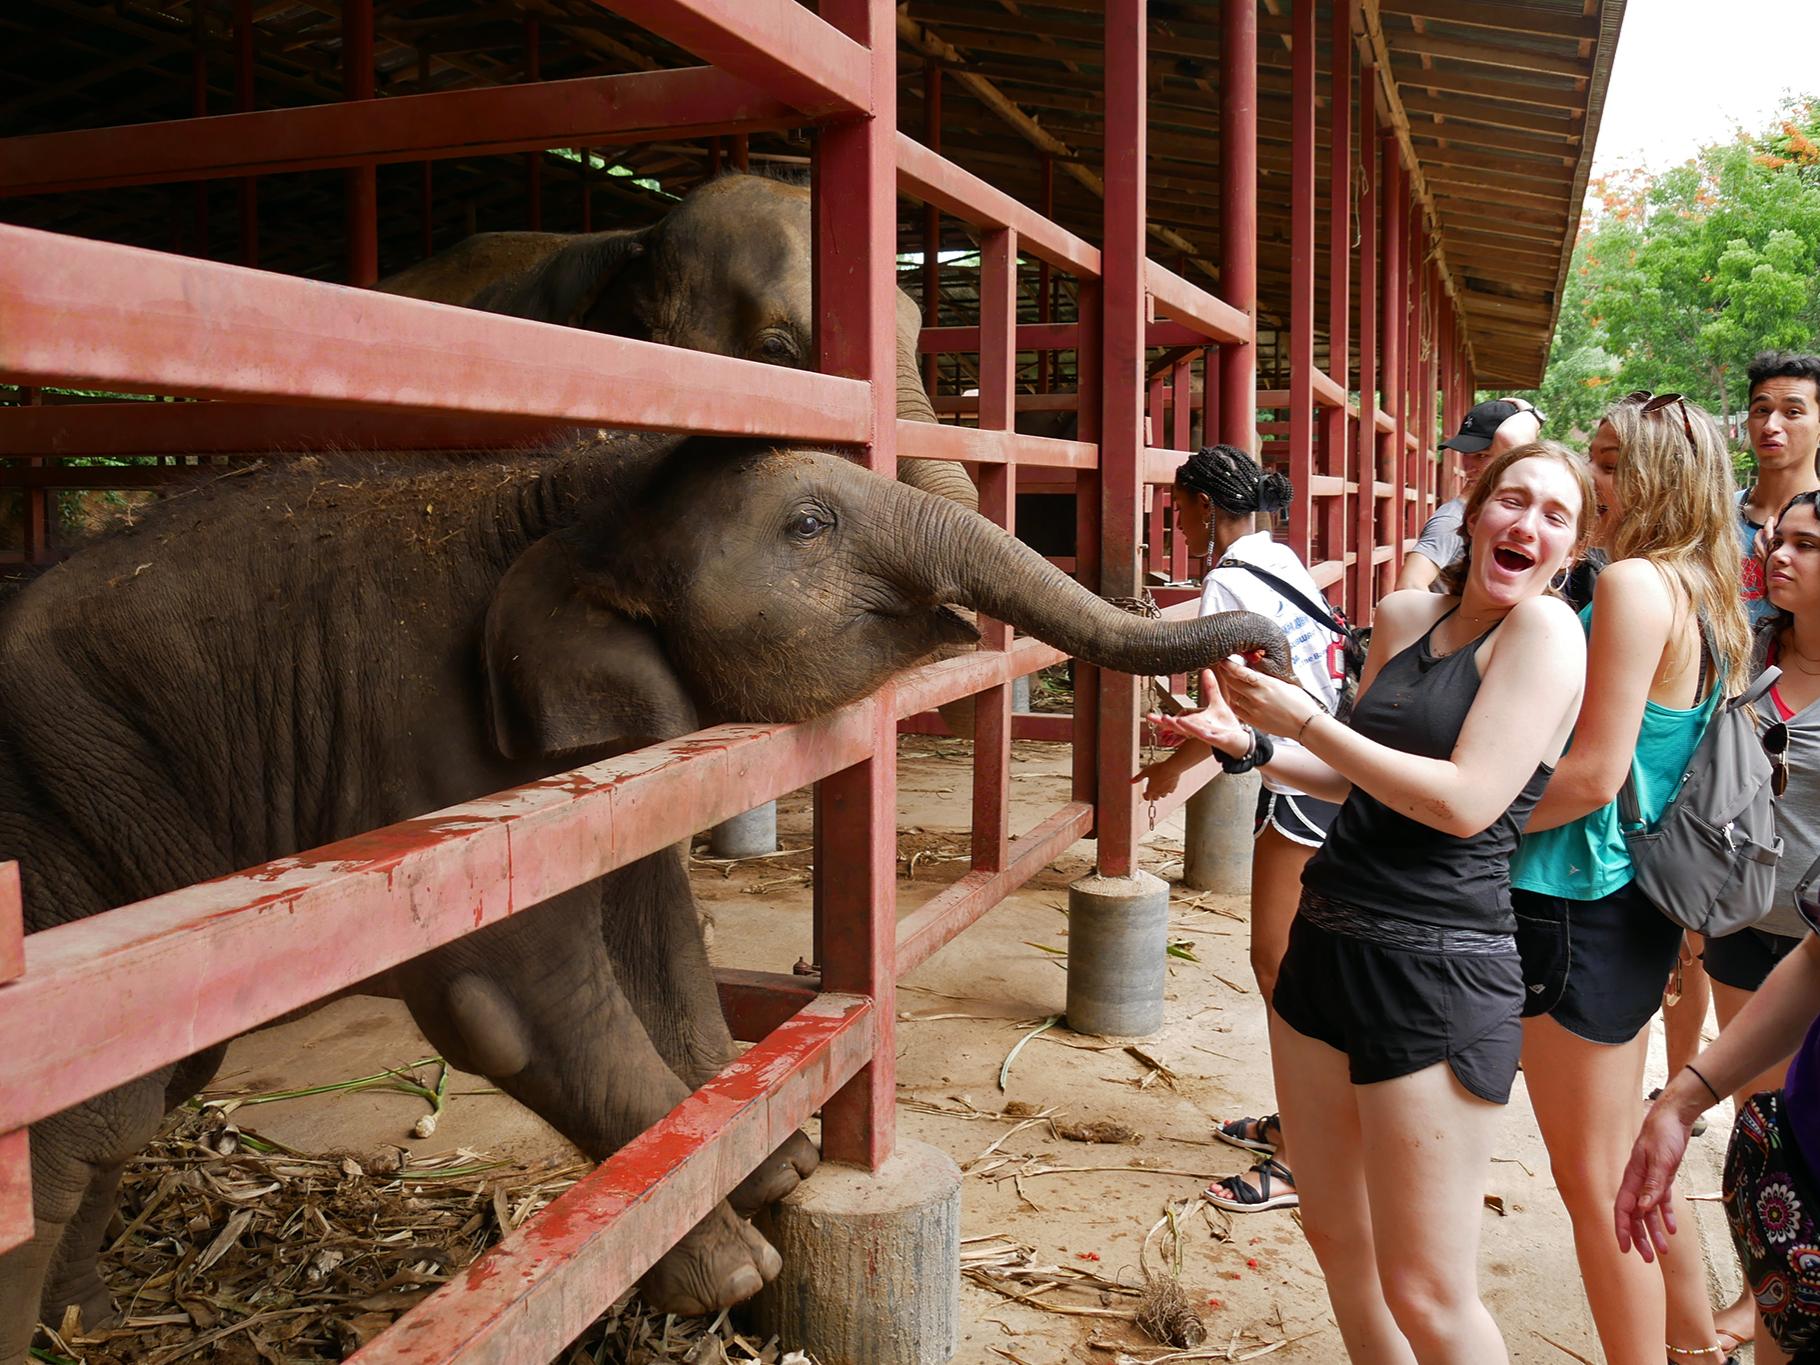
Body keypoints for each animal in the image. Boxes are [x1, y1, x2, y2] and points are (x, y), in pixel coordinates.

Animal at [0, 432, 1287, 1362]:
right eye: (809, 523)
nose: (1258, 640)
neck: (550, 495)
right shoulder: (428, 749)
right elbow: (514, 992)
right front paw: (737, 1269)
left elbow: (658, 923)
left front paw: (774, 1167)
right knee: (71, 1134)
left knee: (133, 1102)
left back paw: (85, 1324)